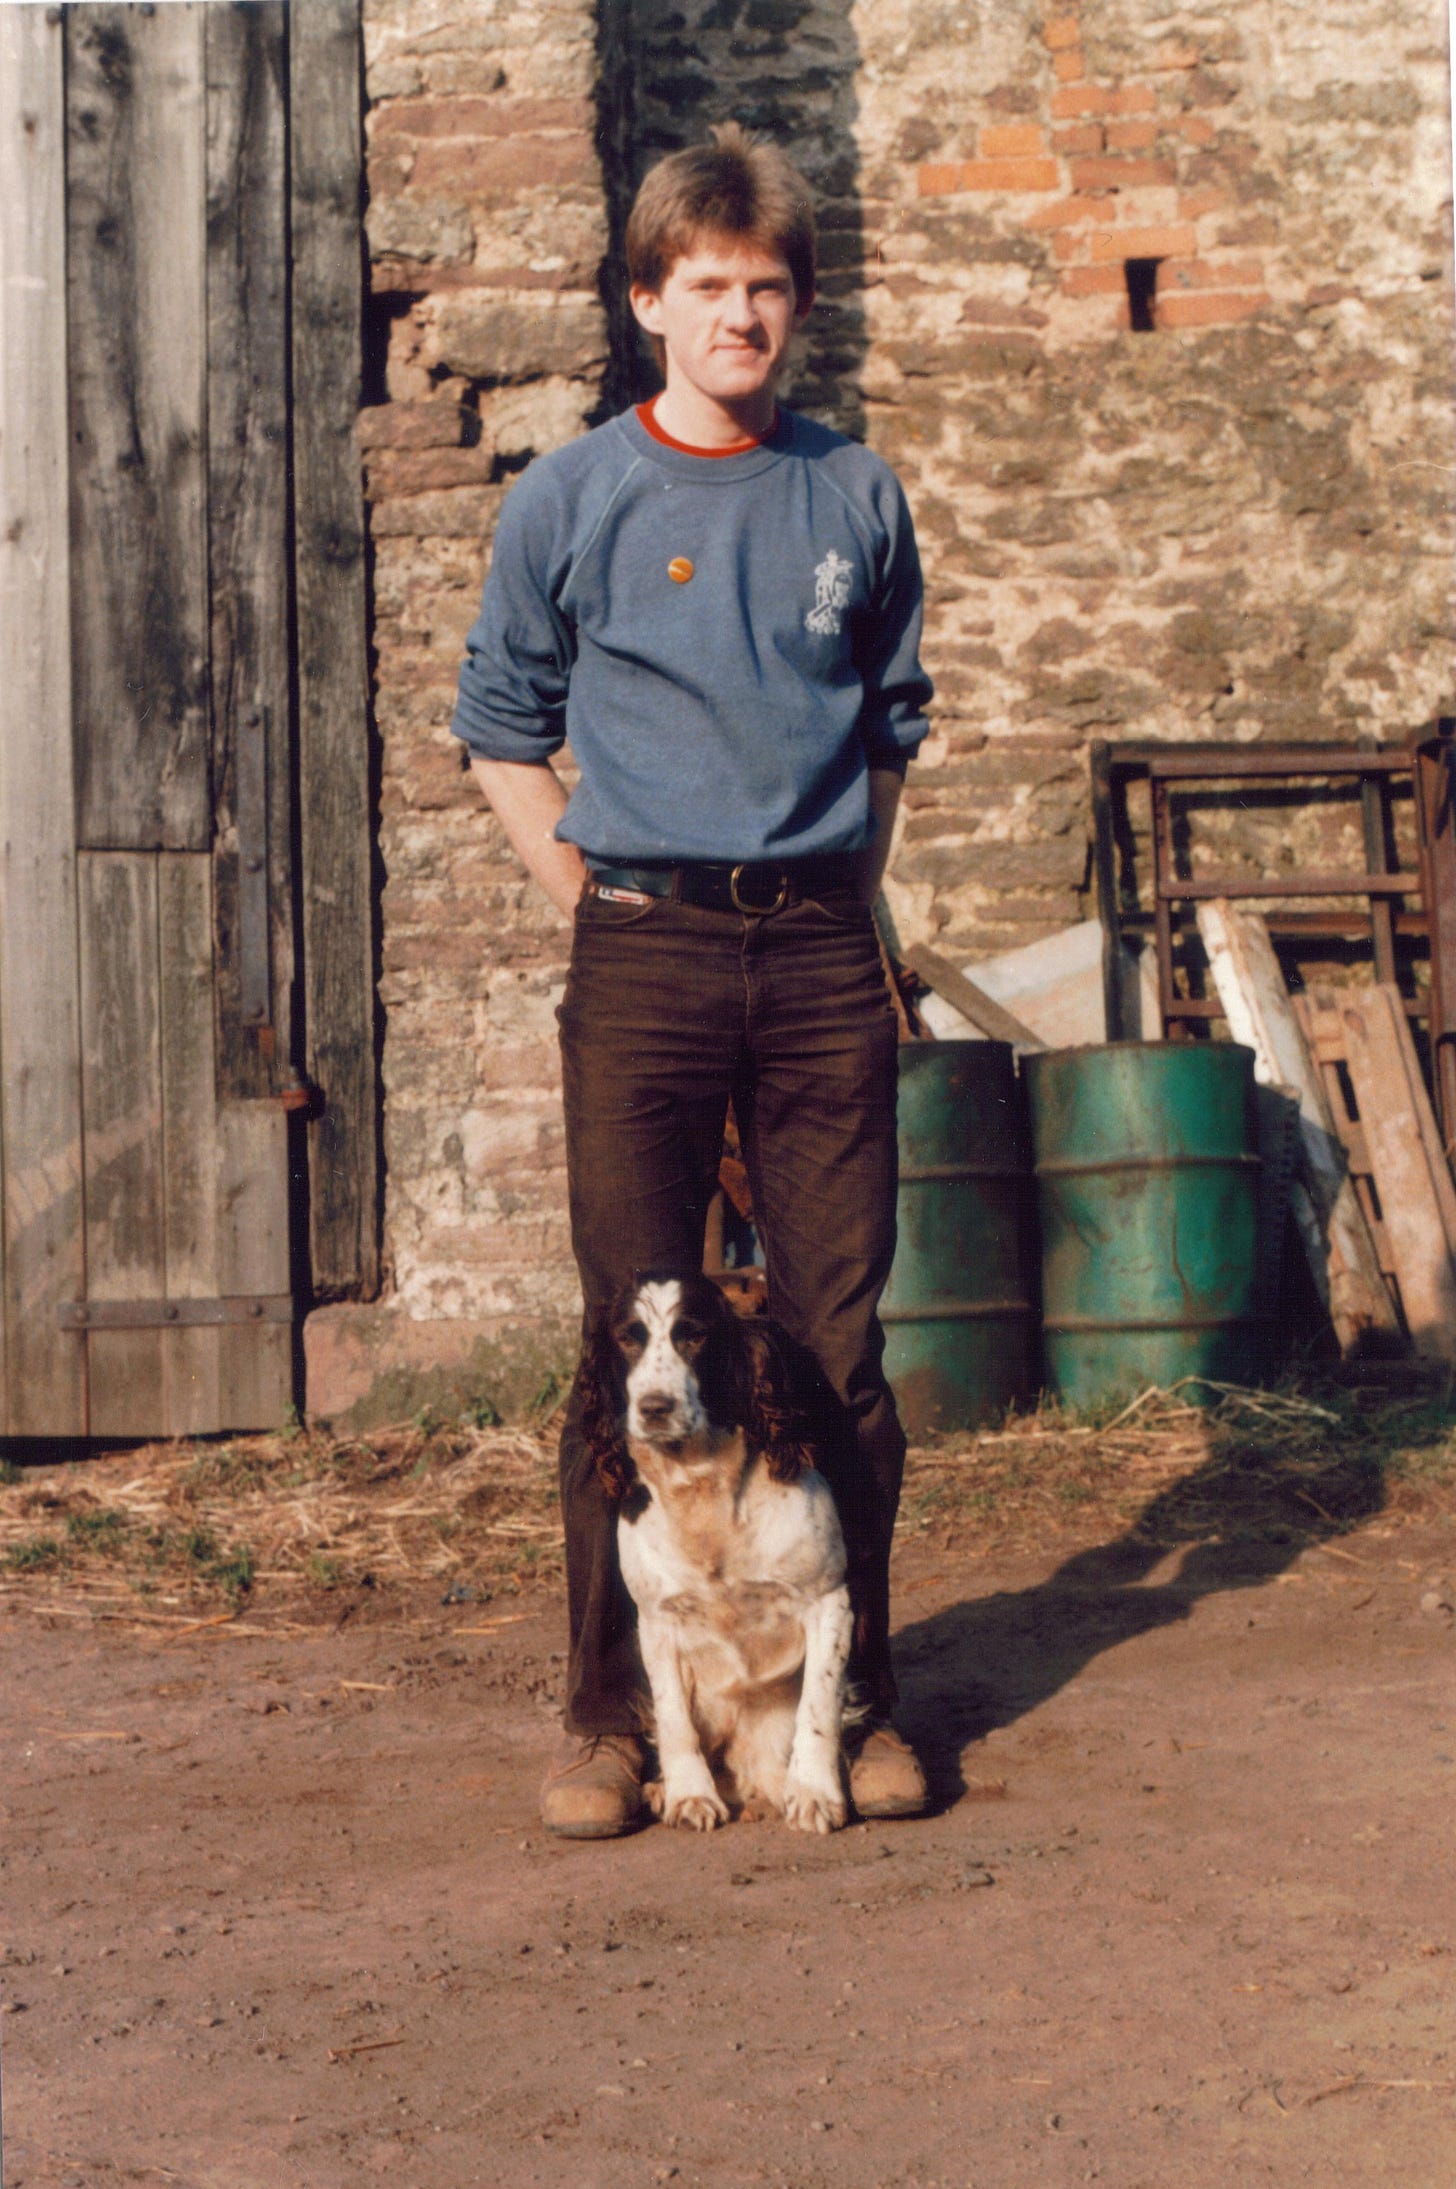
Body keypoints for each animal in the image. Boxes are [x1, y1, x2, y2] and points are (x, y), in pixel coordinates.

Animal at [578, 1278, 853, 1838]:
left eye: (694, 1336)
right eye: (627, 1338)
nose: (655, 1407)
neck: (701, 1489)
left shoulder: (829, 1600)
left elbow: (819, 1704)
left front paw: (815, 1793)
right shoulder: (657, 1621)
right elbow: (673, 1719)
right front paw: (689, 1794)